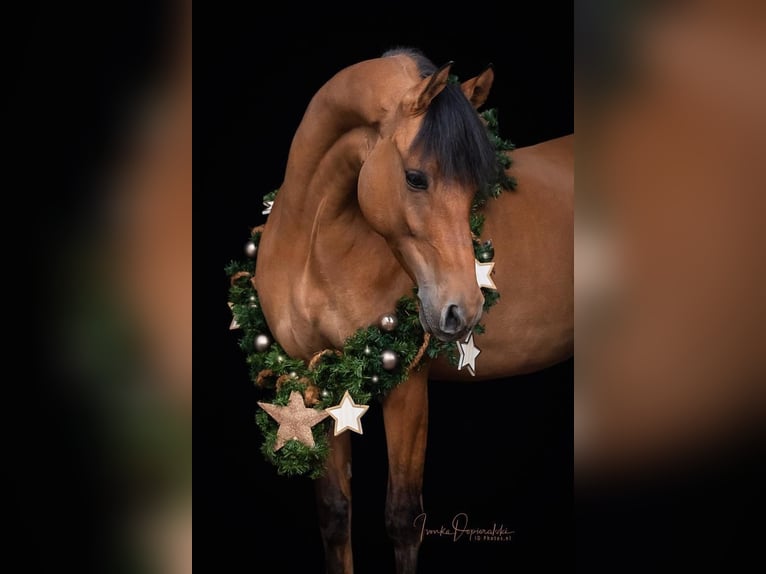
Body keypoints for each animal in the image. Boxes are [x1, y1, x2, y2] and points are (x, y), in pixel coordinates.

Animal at [249, 48, 572, 574]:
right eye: (416, 178)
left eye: (475, 189)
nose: (463, 310)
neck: (311, 249)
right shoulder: (312, 379)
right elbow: (334, 513)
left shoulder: (406, 385)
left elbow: (403, 518)